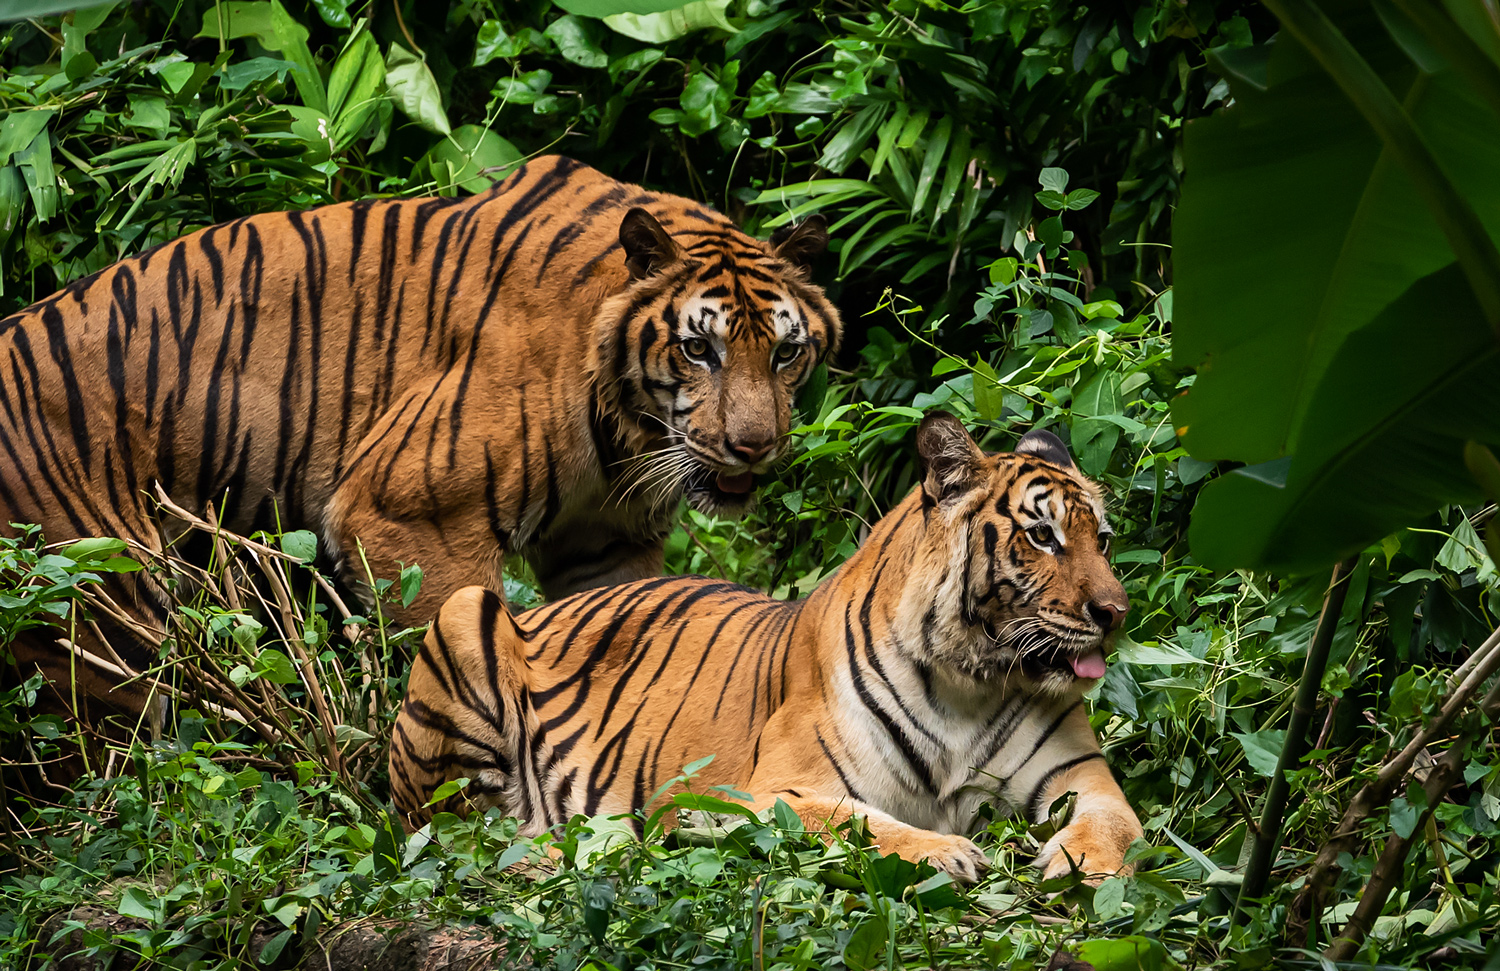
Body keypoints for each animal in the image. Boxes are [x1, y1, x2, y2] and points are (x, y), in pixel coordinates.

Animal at [0, 153, 840, 729]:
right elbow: (460, 647)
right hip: (103, 611)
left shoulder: (605, 540)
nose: (754, 447)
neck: (625, 425)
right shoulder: (412, 512)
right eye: (700, 350)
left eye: (785, 353)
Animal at [387, 411, 1134, 882]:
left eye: (1100, 537)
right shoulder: (777, 790)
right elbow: (867, 824)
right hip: (463, 612)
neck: (971, 684)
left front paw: (1086, 865)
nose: (1116, 613)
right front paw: (948, 851)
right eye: (1041, 536)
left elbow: (1115, 821)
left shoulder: (1082, 773)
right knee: (454, 835)